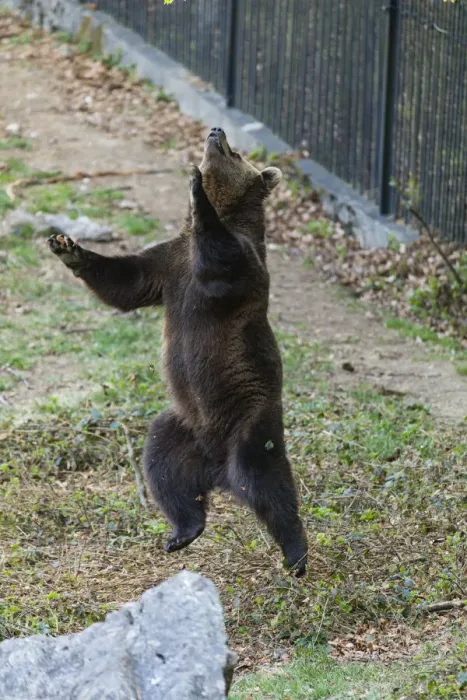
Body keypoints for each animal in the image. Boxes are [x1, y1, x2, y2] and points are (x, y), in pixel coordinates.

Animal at [48, 127, 308, 577]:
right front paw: (67, 247)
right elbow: (126, 282)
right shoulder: (166, 266)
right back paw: (183, 531)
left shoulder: (236, 265)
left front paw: (196, 190)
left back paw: (296, 554)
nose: (216, 132)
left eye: (235, 152)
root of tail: (218, 469)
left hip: (251, 418)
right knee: (163, 469)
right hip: (181, 428)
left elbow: (221, 258)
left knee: (267, 482)